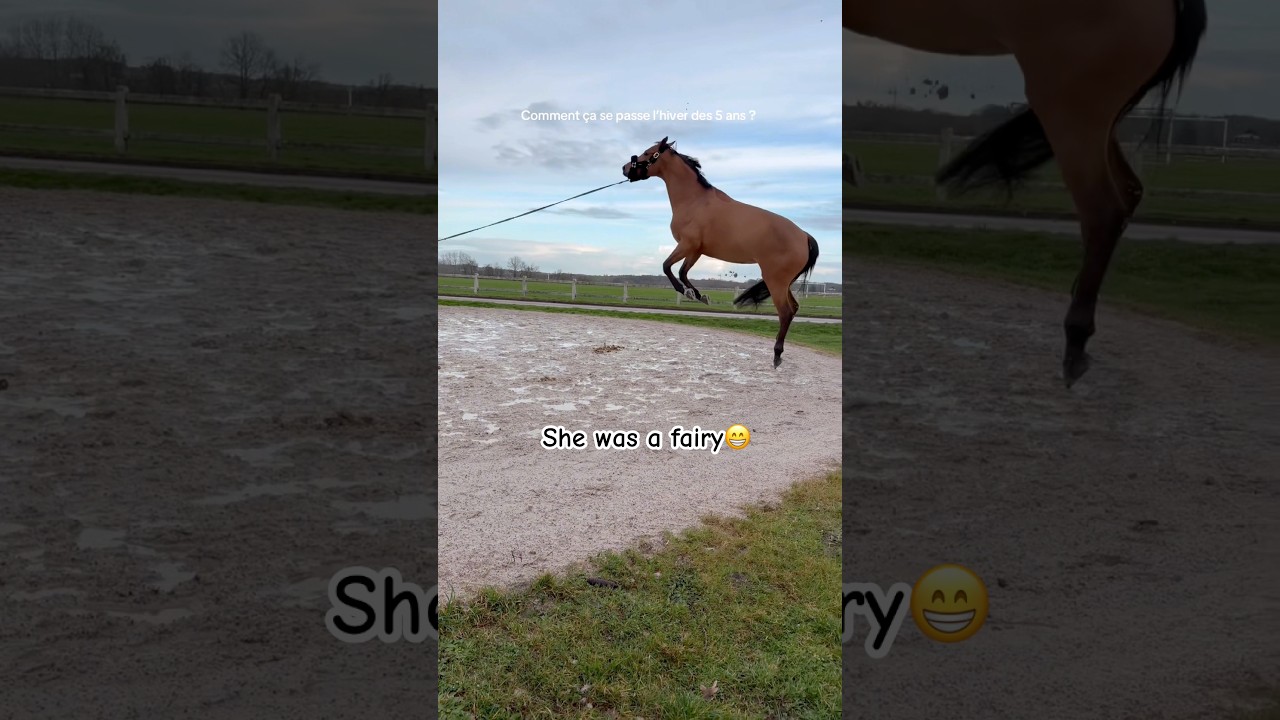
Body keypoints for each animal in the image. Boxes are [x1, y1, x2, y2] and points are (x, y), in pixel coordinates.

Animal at [623, 137, 820, 368]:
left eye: (647, 152)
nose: (625, 168)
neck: (694, 201)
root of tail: (804, 236)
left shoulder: (686, 245)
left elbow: (666, 266)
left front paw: (686, 292)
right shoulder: (696, 250)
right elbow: (682, 272)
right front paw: (698, 295)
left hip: (775, 280)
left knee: (786, 312)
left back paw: (777, 355)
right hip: (784, 282)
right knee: (794, 308)